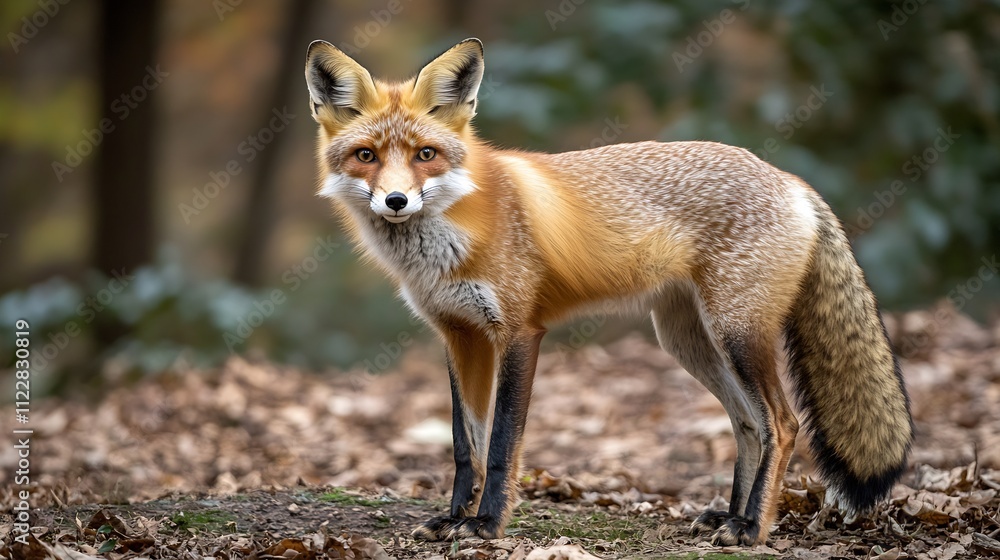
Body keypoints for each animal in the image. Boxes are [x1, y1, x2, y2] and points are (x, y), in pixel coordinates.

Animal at [303, 38, 913, 546]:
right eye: (366, 156)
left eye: (425, 155)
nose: (396, 201)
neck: (453, 234)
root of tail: (793, 181)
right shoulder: (459, 335)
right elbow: (463, 446)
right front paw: (454, 518)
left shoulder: (519, 332)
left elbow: (499, 446)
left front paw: (488, 524)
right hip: (689, 341)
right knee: (749, 425)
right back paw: (733, 514)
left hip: (737, 333)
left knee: (783, 427)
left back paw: (752, 530)